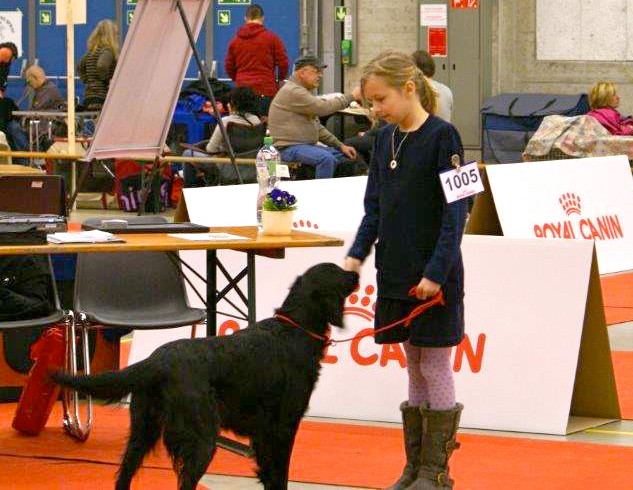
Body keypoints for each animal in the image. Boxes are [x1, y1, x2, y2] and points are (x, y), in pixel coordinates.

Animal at [52, 264, 358, 490]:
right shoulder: (283, 427)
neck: (294, 329)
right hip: (202, 439)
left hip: (143, 431)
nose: (355, 273)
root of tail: (155, 361)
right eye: (338, 272)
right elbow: (280, 477)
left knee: (123, 476)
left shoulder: (262, 434)